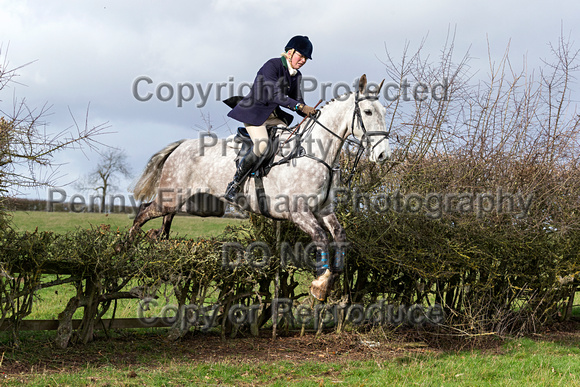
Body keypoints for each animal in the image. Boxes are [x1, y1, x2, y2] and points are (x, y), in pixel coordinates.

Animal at [127, 74, 390, 302]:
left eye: (384, 112)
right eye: (368, 112)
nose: (383, 155)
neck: (315, 153)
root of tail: (180, 146)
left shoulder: (324, 210)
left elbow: (340, 236)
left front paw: (330, 279)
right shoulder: (299, 212)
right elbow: (322, 238)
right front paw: (320, 283)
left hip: (184, 202)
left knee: (164, 220)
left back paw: (156, 245)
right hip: (171, 197)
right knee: (143, 213)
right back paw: (128, 248)